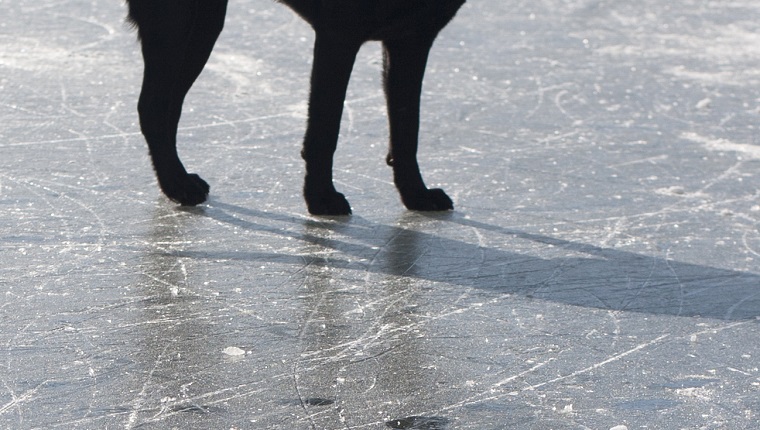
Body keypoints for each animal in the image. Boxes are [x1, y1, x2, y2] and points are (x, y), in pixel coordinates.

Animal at [126, 0, 464, 215]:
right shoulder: (338, 36)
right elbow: (325, 129)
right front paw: (321, 198)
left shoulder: (412, 40)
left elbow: (407, 128)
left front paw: (416, 194)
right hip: (177, 21)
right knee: (154, 107)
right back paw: (176, 184)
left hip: (203, 23)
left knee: (167, 107)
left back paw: (178, 180)